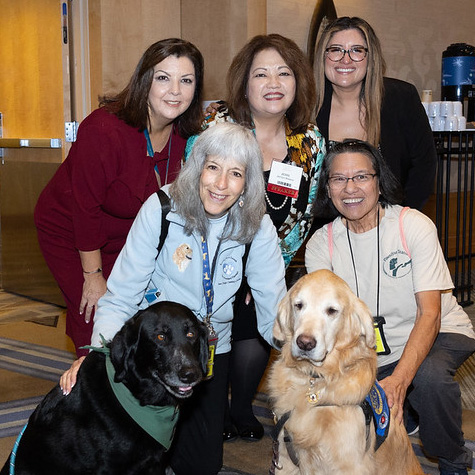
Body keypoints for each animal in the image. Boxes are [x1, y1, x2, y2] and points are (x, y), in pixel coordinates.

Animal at [268, 270, 424, 474]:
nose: (305, 343)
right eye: (299, 305)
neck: (314, 380)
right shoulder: (285, 459)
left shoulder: (352, 464)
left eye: (332, 310)